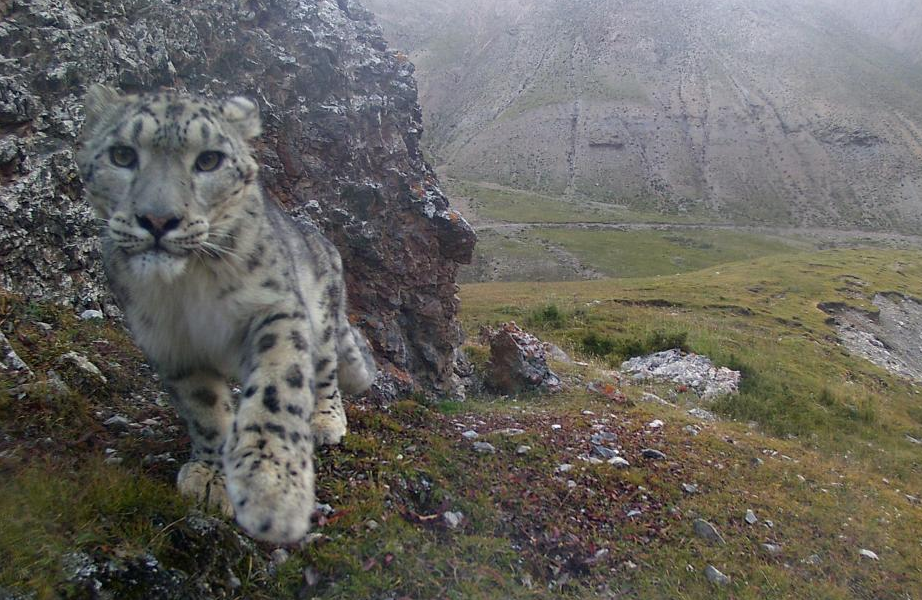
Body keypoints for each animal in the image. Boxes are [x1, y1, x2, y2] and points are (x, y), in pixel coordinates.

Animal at [76, 85, 374, 544]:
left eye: (209, 160)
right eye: (122, 155)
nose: (157, 219)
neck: (187, 289)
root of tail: (324, 241)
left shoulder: (274, 310)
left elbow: (275, 389)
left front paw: (272, 489)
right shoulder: (172, 343)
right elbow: (206, 411)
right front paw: (212, 478)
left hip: (323, 321)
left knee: (325, 373)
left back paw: (325, 422)